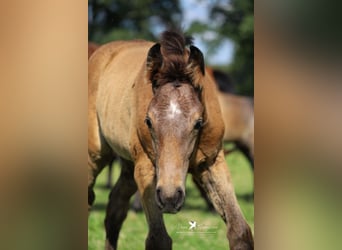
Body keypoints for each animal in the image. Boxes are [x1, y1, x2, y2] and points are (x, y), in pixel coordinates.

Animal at [88, 30, 254, 250]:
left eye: (198, 122)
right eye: (148, 121)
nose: (170, 197)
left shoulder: (212, 162)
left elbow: (240, 231)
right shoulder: (146, 169)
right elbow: (158, 239)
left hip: (128, 165)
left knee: (115, 209)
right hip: (96, 155)